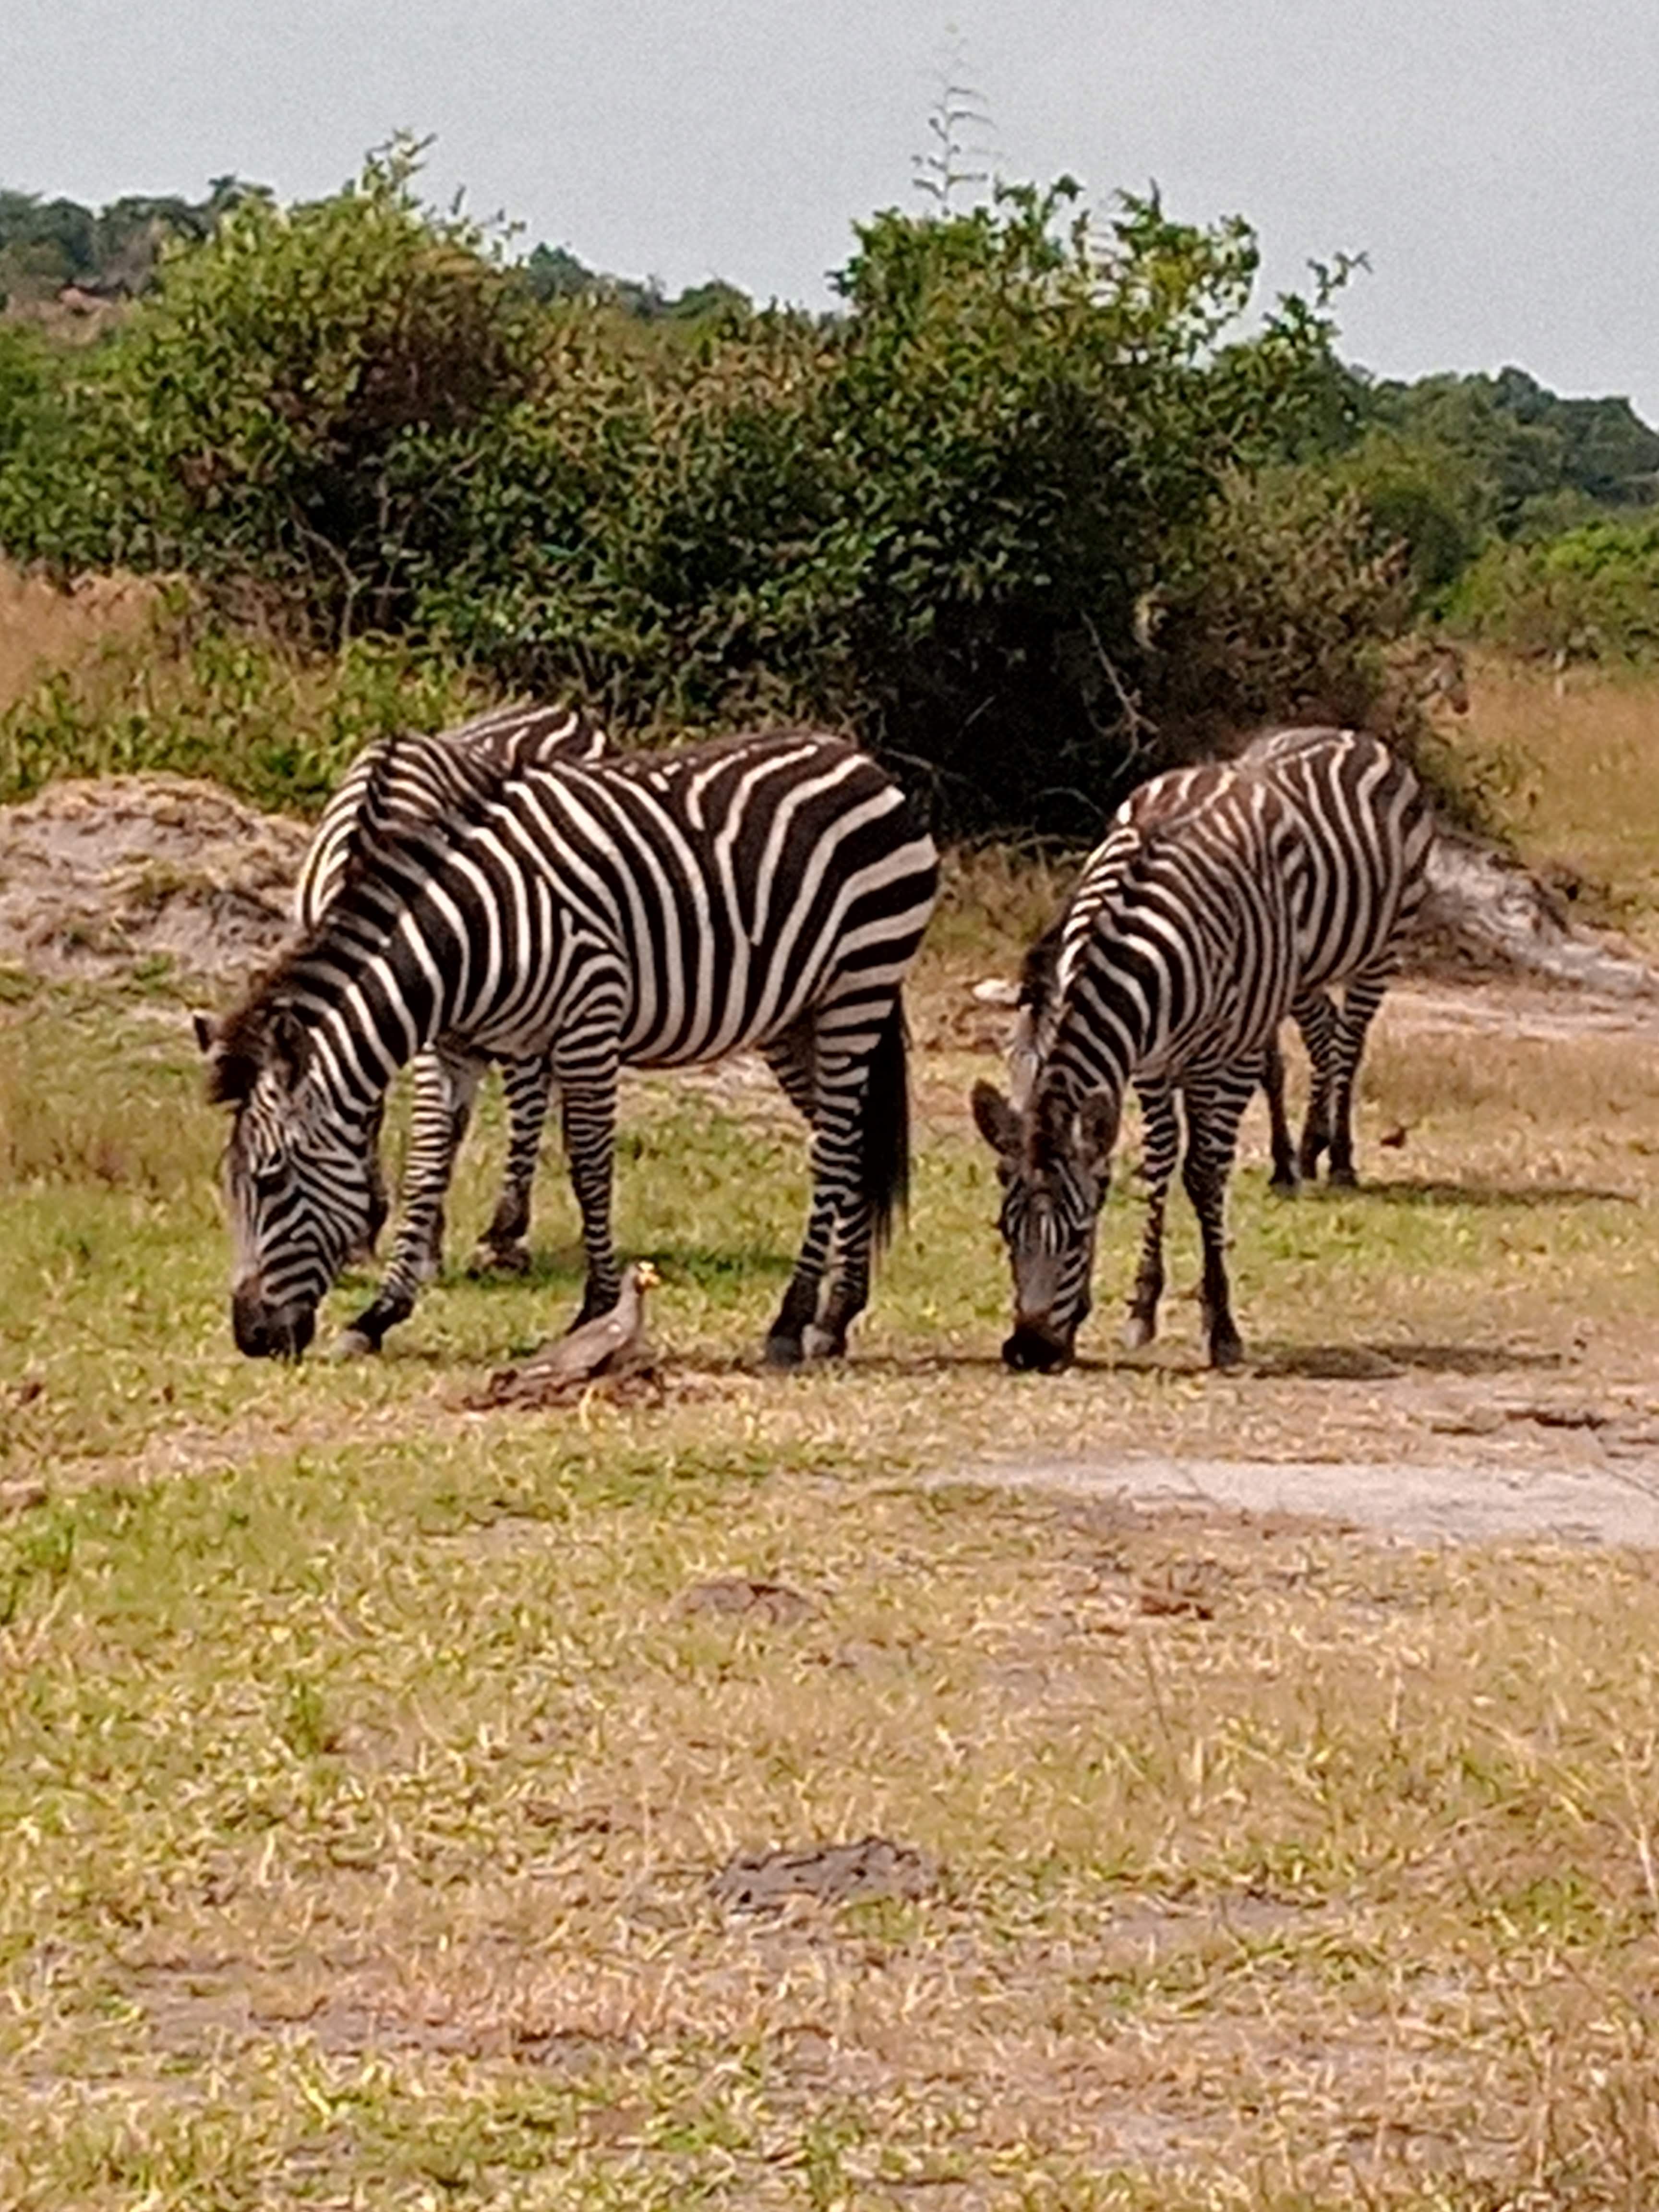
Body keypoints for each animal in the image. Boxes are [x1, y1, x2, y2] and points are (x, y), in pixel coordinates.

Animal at [974, 763, 1305, 1371]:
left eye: (1076, 1236)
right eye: (1006, 1232)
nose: (1028, 1351)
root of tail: (1219, 770)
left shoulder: (1204, 1059)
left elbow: (1200, 1174)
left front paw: (1221, 1326)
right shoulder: (1143, 1061)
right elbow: (1144, 1164)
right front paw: (1125, 1310)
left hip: (1242, 1035)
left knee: (1216, 1157)